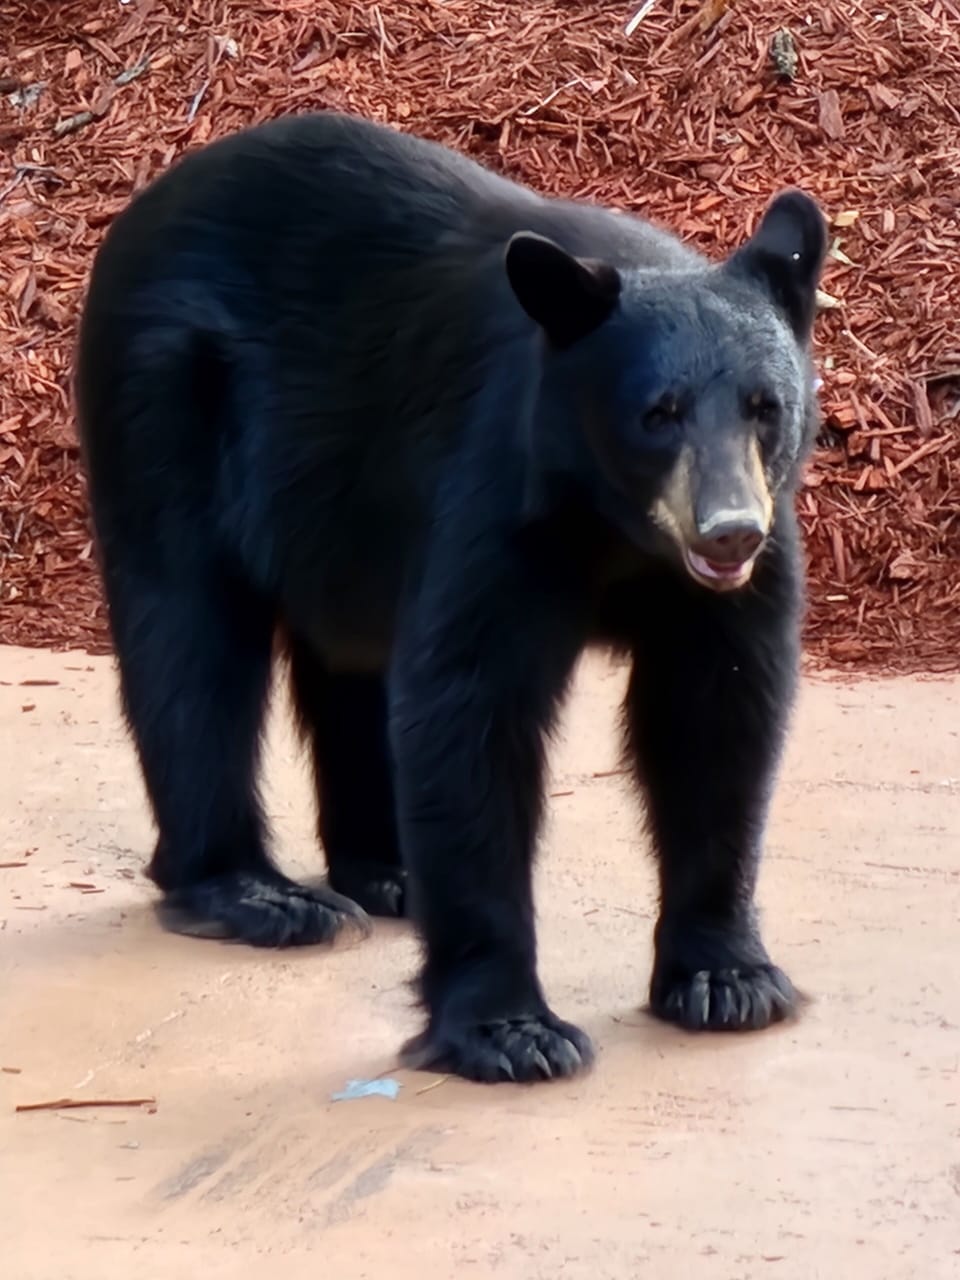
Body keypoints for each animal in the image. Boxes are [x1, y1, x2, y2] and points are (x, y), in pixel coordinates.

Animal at [74, 111, 827, 1084]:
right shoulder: (499, 495)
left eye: (765, 406)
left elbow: (716, 714)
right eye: (657, 414)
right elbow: (470, 710)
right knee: (190, 643)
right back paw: (258, 894)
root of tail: (138, 210)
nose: (728, 530)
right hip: (164, 406)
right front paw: (510, 1028)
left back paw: (383, 870)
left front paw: (726, 977)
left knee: (348, 667)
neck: (615, 528)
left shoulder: (736, 577)